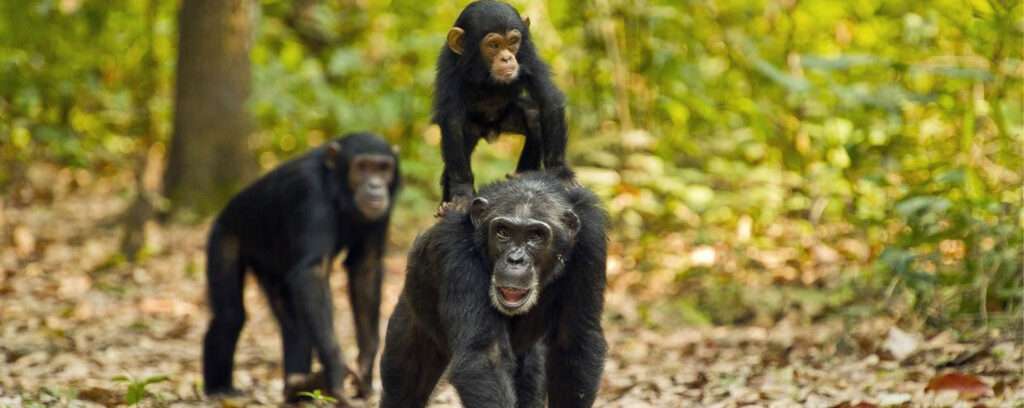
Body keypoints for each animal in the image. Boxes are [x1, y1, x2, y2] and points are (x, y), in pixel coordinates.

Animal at [200, 132, 399, 403]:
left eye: (382, 168)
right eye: (362, 167)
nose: (375, 186)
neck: (338, 191)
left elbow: (366, 269)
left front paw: (366, 370)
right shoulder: (310, 192)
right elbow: (312, 273)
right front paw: (336, 369)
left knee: (295, 327)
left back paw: (297, 389)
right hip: (225, 233)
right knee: (230, 316)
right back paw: (219, 388)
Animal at [382, 173, 606, 408]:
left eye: (536, 236)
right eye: (503, 232)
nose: (515, 260)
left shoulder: (591, 240)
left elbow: (575, 340)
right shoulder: (455, 246)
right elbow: (486, 355)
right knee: (405, 390)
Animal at [434, 2, 573, 213]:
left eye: (513, 41)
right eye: (494, 45)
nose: (507, 58)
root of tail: (491, 130)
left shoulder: (528, 55)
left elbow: (549, 100)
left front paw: (560, 173)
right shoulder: (450, 66)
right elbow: (452, 121)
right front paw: (462, 193)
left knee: (533, 115)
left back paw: (523, 175)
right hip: (472, 130)